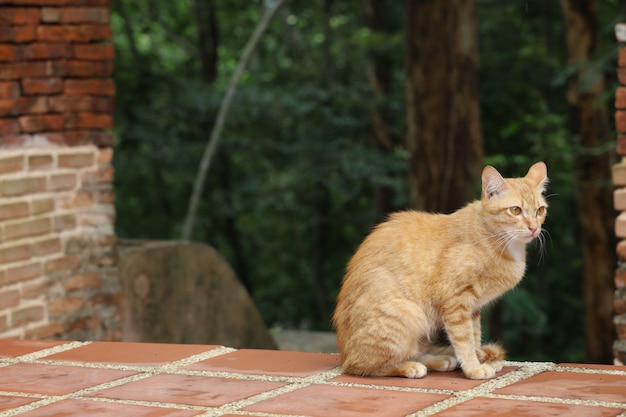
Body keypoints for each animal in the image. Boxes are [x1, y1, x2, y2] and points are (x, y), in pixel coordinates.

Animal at [332, 161, 544, 378]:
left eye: (540, 210)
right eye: (515, 210)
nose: (534, 227)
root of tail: (344, 352)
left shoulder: (473, 308)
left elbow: (474, 335)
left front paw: (480, 358)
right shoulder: (456, 301)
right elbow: (464, 339)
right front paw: (473, 367)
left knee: (412, 352)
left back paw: (440, 360)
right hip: (410, 313)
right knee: (363, 366)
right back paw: (410, 367)